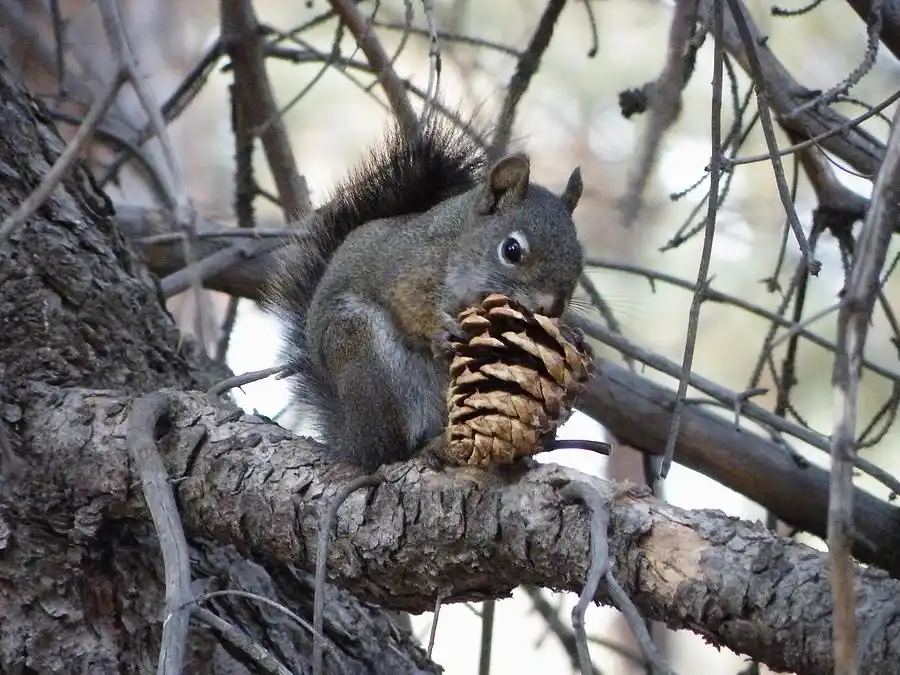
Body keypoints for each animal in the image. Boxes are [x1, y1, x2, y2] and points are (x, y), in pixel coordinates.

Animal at [266, 114, 585, 472]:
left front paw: (569, 335)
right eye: (511, 250)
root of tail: (349, 439)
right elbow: (409, 306)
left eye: (579, 258)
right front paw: (440, 330)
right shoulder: (409, 270)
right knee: (388, 450)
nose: (552, 307)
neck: (459, 246)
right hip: (364, 355)